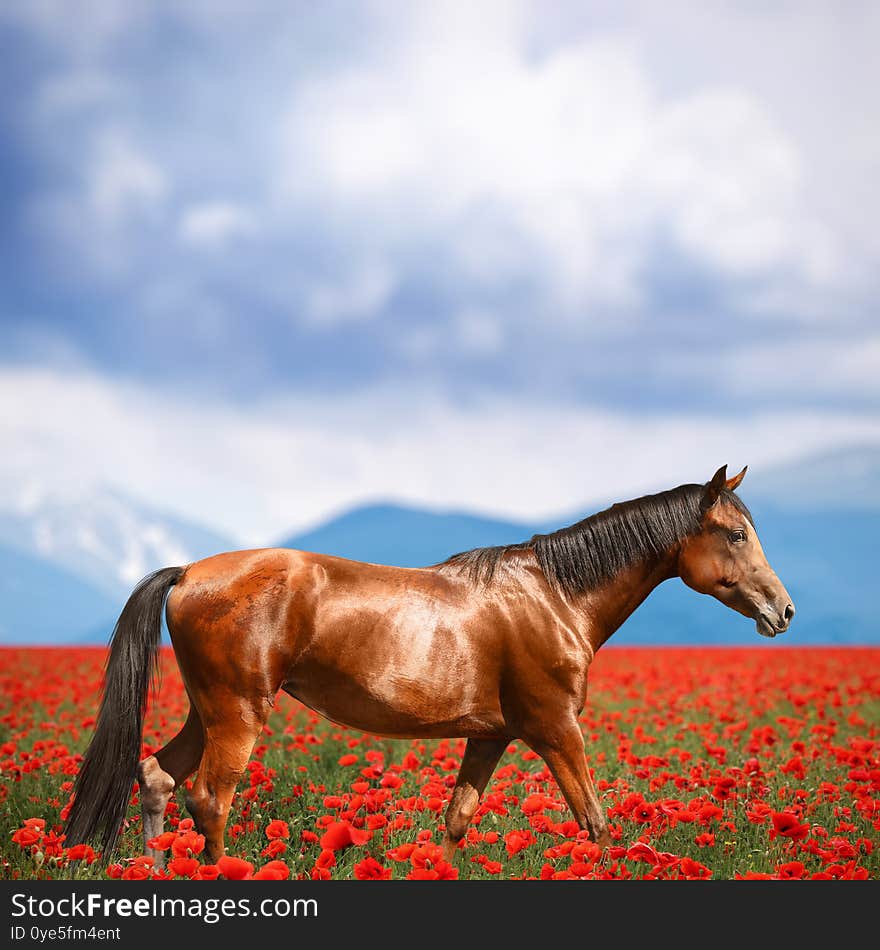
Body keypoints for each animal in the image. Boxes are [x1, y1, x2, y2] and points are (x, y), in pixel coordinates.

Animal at [65, 466, 796, 872]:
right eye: (735, 534)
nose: (783, 610)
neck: (556, 595)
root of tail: (188, 571)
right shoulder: (557, 730)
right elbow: (594, 821)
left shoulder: (491, 736)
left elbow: (456, 820)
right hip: (238, 715)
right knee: (209, 801)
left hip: (208, 711)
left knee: (157, 776)